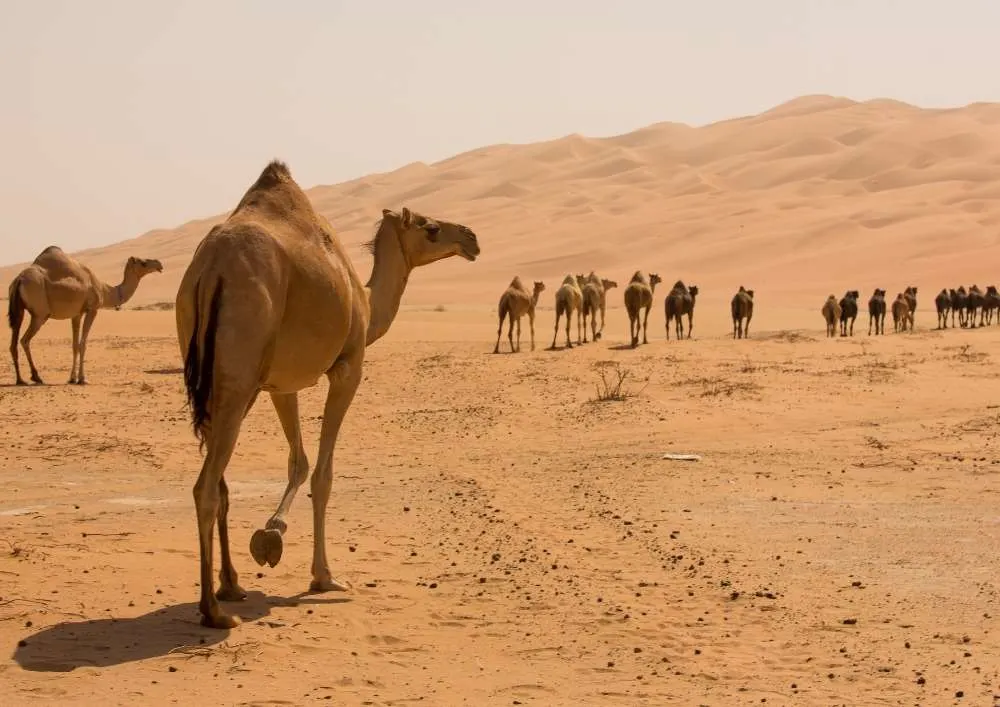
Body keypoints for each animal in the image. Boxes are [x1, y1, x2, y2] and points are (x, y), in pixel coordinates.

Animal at [7, 246, 162, 384]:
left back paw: (20, 380)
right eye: (143, 262)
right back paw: (36, 377)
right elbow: (83, 344)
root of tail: (19, 279)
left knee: (13, 342)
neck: (104, 290)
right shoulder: (92, 309)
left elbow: (75, 345)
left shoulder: (77, 314)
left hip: (19, 310)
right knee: (24, 340)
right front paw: (82, 379)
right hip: (40, 313)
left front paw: (72, 378)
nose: (159, 264)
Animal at [175, 162, 480, 632]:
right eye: (430, 228)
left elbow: (297, 462)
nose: (470, 237)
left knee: (218, 479)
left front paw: (269, 537)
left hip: (216, 377)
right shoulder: (348, 368)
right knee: (206, 486)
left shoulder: (280, 383)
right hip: (240, 371)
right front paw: (323, 576)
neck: (366, 301)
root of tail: (212, 268)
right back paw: (214, 611)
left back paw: (231, 586)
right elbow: (323, 474)